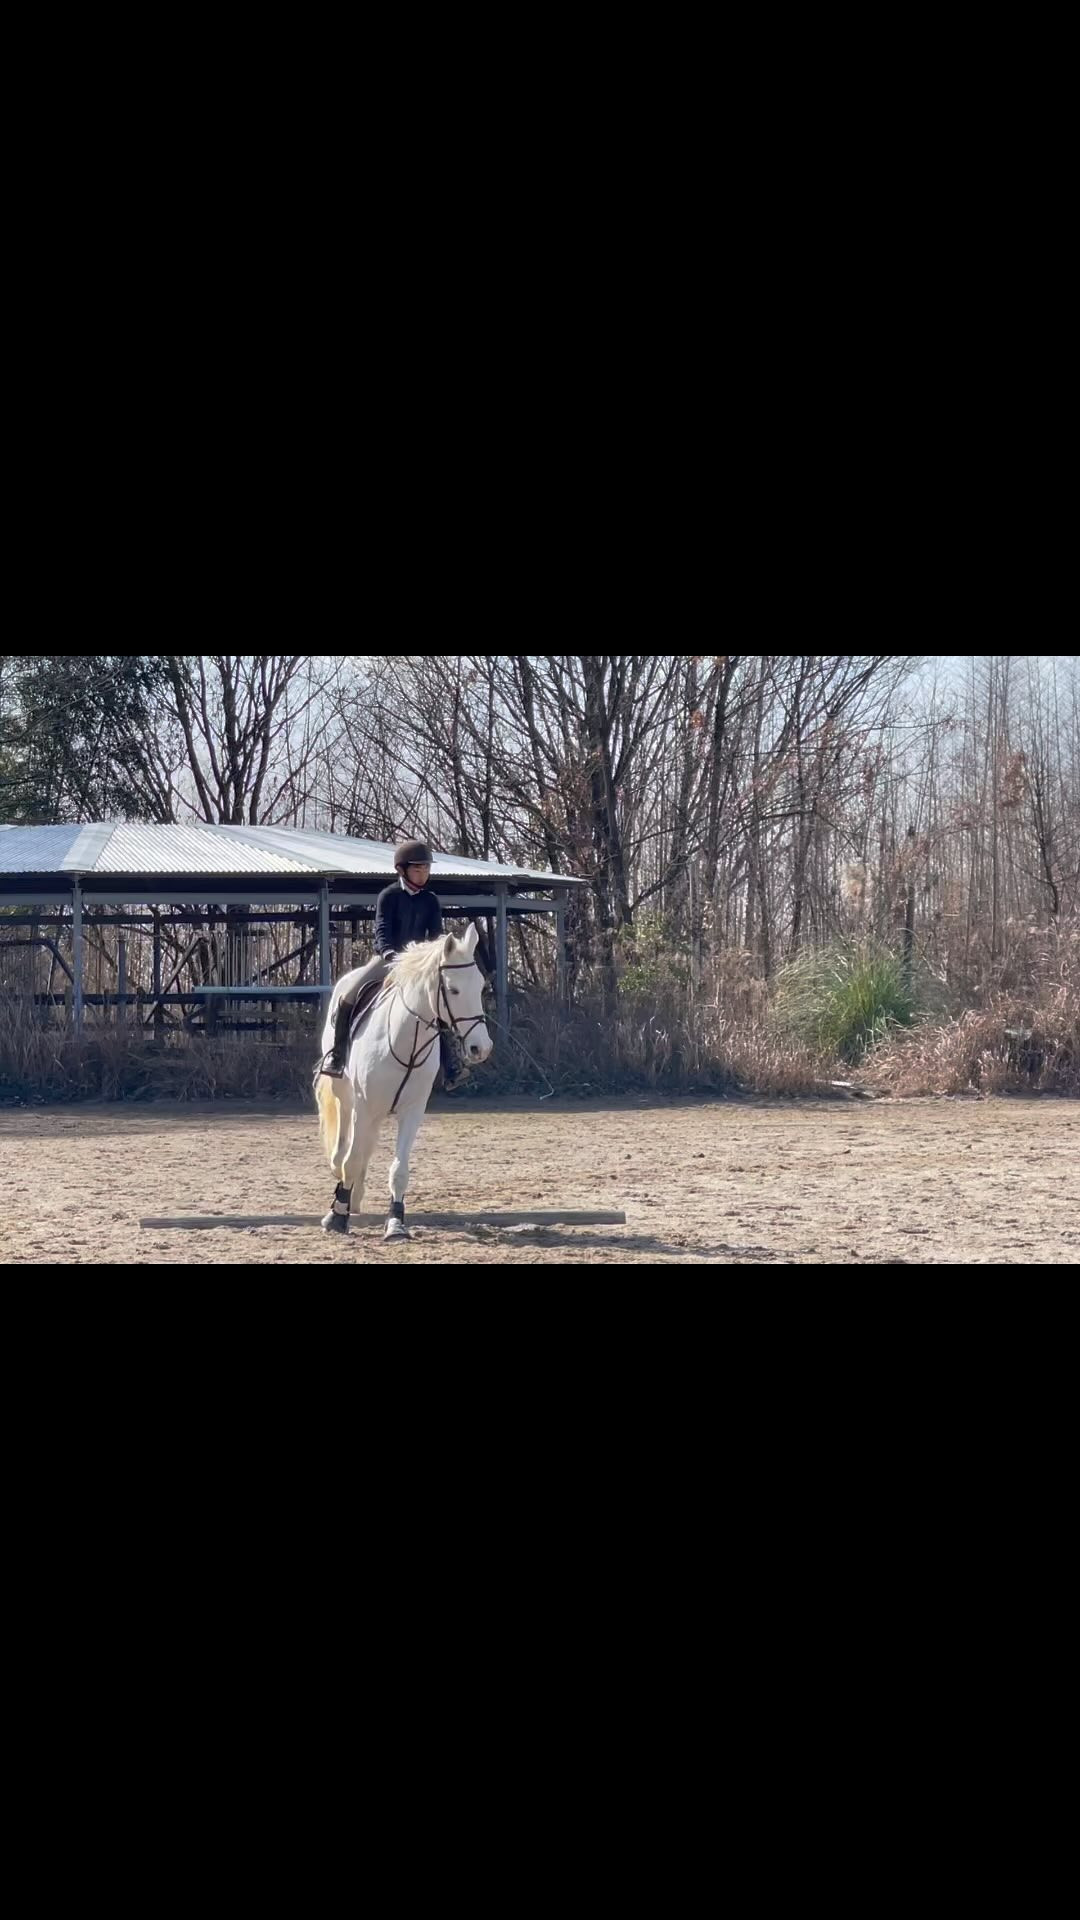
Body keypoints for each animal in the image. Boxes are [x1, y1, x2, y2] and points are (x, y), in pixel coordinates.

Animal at [311, 925, 491, 1244]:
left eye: (480, 987)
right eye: (453, 990)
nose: (481, 1048)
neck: (405, 1041)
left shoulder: (412, 1110)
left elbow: (399, 1171)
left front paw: (395, 1225)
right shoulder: (365, 1106)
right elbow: (351, 1158)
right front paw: (336, 1216)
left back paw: (355, 1195)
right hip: (346, 1095)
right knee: (344, 1147)